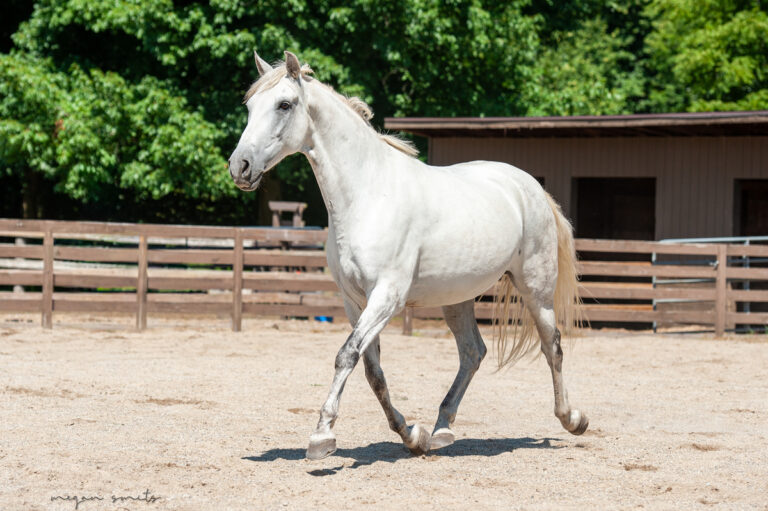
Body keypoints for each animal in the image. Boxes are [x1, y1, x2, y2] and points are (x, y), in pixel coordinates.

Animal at [229, 51, 588, 460]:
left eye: (284, 105)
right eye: (250, 106)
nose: (239, 167)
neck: (367, 194)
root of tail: (530, 187)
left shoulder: (387, 297)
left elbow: (346, 355)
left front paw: (321, 436)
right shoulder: (354, 301)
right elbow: (372, 371)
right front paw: (411, 435)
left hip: (536, 289)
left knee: (552, 346)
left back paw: (572, 419)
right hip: (457, 298)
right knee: (472, 352)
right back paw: (442, 429)